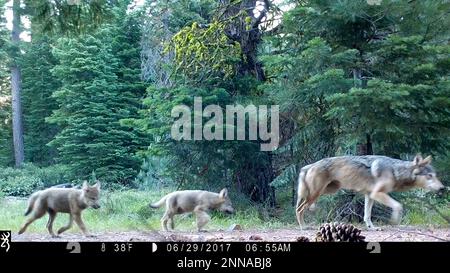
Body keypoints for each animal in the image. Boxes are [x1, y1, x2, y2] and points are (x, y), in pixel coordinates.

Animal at [296, 154, 442, 228]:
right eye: (429, 176)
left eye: (435, 175)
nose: (442, 188)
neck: (395, 171)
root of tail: (309, 165)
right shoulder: (377, 194)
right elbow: (398, 205)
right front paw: (394, 221)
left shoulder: (370, 195)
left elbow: (367, 214)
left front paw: (372, 227)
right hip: (316, 194)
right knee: (299, 209)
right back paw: (303, 226)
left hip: (328, 191)